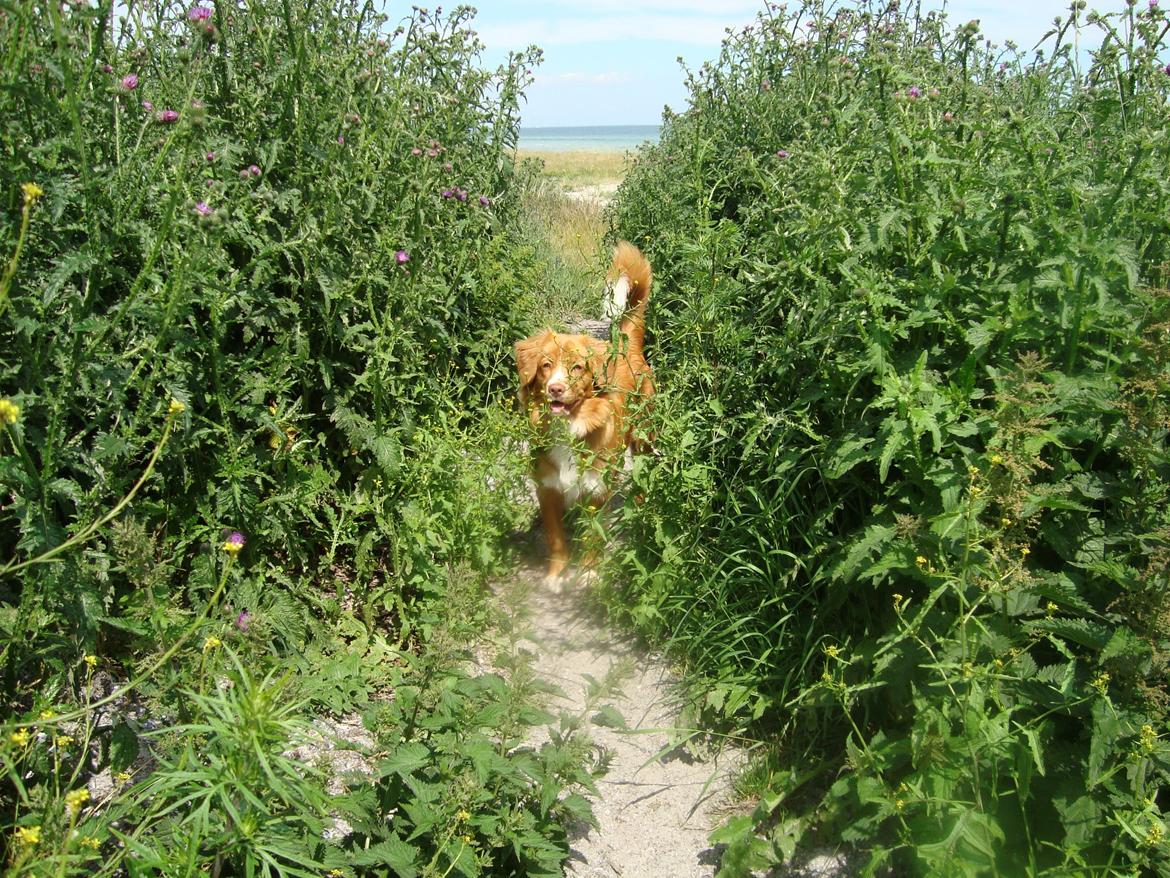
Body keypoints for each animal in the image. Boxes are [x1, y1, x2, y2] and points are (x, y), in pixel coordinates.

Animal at [514, 242, 655, 585]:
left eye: (577, 367)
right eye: (546, 365)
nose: (555, 389)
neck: (568, 429)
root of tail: (627, 346)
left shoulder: (596, 489)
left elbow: (592, 535)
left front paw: (589, 573)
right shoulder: (548, 488)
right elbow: (556, 538)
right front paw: (556, 575)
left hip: (645, 437)